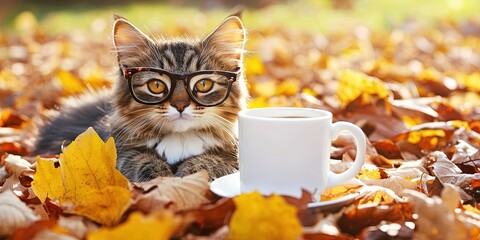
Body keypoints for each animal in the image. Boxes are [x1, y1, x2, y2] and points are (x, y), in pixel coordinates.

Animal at [33, 13, 249, 181]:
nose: (180, 105)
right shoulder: (118, 150)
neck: (180, 139)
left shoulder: (232, 155)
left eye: (203, 85)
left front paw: (190, 172)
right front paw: (163, 178)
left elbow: (211, 161)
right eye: (156, 86)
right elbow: (141, 159)